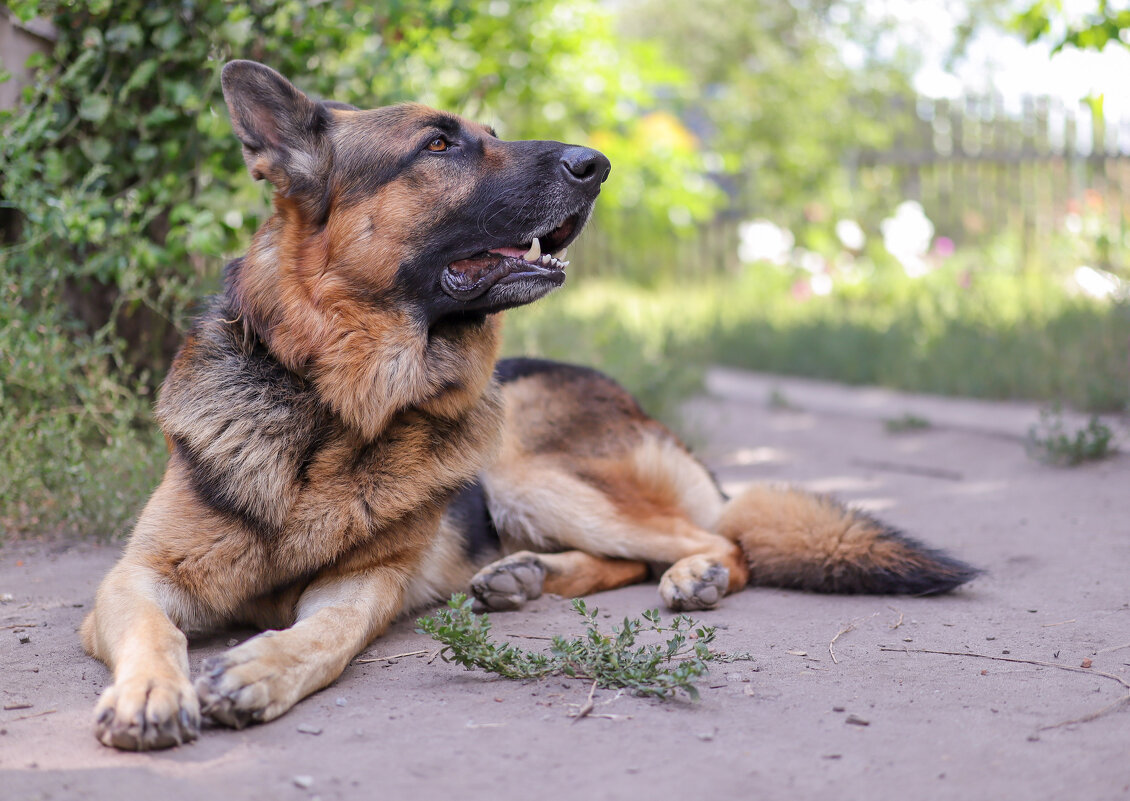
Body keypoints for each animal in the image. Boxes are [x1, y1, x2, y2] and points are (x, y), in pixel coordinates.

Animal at [83, 61, 976, 750]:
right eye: (439, 144)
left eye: (489, 132)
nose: (598, 163)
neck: (336, 404)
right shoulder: (134, 578)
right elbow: (156, 627)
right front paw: (152, 691)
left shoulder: (365, 583)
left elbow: (322, 633)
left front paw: (261, 667)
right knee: (633, 554)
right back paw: (526, 576)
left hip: (526, 468)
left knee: (718, 538)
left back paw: (692, 575)